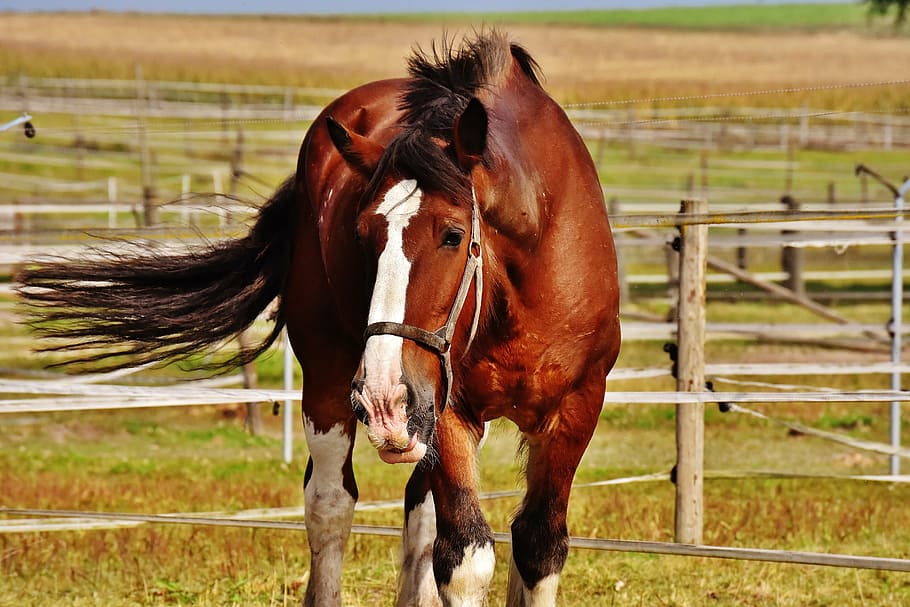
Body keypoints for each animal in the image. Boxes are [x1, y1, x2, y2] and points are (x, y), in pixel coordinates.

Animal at [17, 32, 624, 607]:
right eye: (362, 236)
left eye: (453, 235)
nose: (382, 397)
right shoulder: (450, 409)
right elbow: (466, 557)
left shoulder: (575, 410)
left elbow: (537, 548)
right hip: (337, 385)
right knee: (331, 503)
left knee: (418, 513)